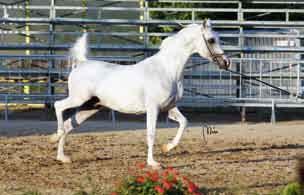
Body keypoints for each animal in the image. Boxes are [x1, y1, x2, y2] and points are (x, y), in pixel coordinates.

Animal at [50, 19, 230, 169]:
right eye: (211, 40)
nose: (226, 62)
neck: (167, 70)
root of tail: (82, 63)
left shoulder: (170, 108)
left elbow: (184, 122)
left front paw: (167, 148)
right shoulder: (153, 109)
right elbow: (151, 134)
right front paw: (153, 163)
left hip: (90, 107)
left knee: (68, 125)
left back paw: (62, 157)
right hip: (78, 99)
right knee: (58, 107)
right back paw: (56, 136)